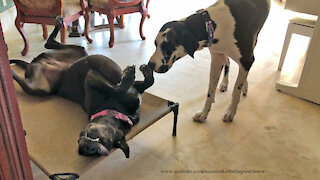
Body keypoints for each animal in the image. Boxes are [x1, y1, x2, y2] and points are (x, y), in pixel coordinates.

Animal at [10, 16, 153, 158]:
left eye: (109, 144)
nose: (89, 148)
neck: (117, 111)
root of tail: (35, 63)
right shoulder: (92, 78)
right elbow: (122, 88)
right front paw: (133, 75)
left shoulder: (130, 89)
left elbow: (138, 85)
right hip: (48, 78)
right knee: (48, 46)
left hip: (55, 71)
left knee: (49, 44)